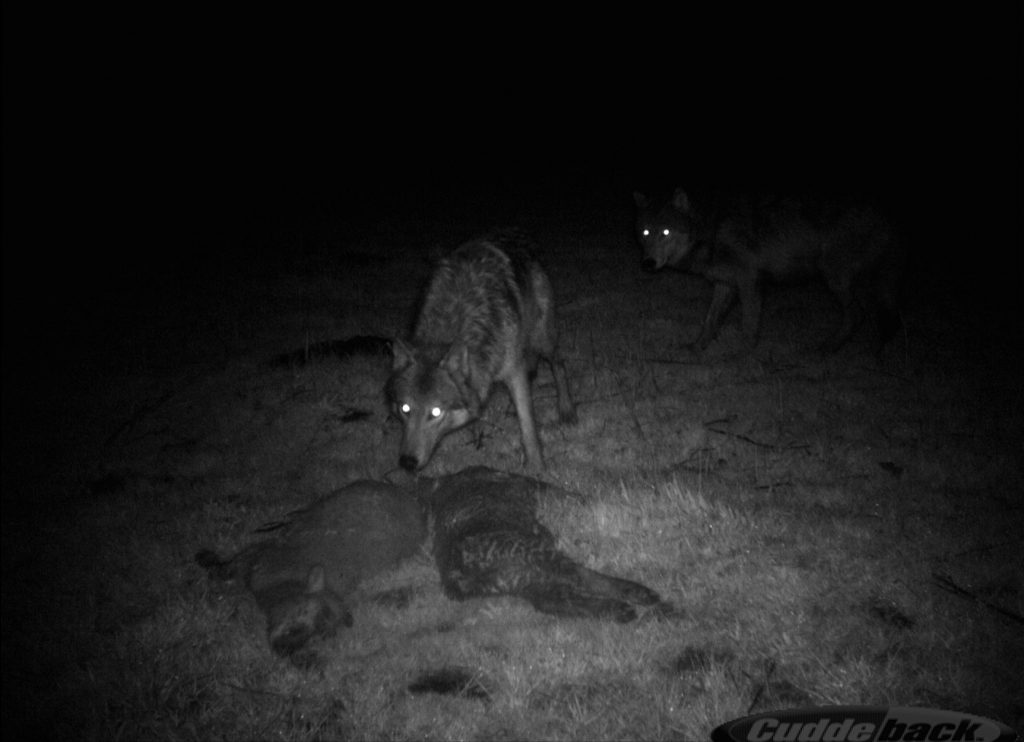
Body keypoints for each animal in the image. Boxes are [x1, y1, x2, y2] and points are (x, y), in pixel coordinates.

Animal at [196, 480, 427, 668]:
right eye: (305, 611)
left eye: (323, 635)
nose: (291, 647)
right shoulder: (260, 555)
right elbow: (228, 564)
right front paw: (208, 560)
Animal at [387, 229, 576, 472]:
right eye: (405, 409)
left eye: (436, 412)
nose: (407, 463)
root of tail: (518, 239)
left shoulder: (514, 372)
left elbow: (528, 425)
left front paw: (536, 466)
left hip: (543, 338)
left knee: (558, 365)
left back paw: (566, 410)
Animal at [634, 187, 903, 352]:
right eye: (645, 232)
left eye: (666, 232)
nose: (648, 263)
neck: (711, 231)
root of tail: (886, 218)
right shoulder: (725, 285)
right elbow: (709, 321)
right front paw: (696, 348)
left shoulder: (749, 282)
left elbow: (749, 326)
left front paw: (741, 357)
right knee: (873, 316)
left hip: (836, 279)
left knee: (858, 315)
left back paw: (828, 349)